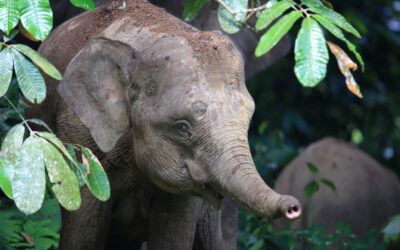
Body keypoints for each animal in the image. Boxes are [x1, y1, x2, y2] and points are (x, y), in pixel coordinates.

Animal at [27, 0, 300, 249]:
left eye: (248, 120)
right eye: (182, 127)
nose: (293, 207)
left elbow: (173, 233)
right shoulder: (79, 138)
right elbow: (83, 231)